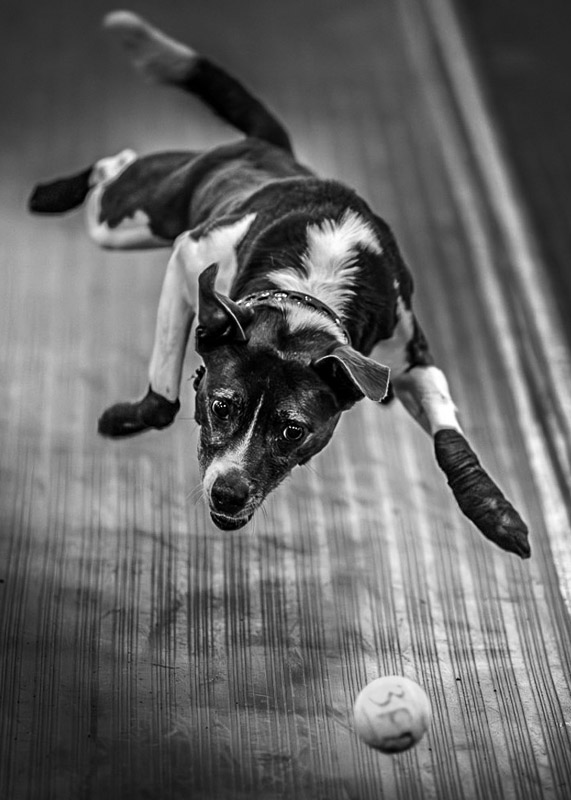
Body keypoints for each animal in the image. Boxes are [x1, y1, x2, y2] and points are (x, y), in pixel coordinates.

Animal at [27, 9, 532, 556]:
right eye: (222, 406)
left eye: (293, 430)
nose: (227, 494)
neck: (309, 294)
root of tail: (269, 147)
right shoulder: (189, 259)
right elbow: (162, 396)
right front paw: (127, 417)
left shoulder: (405, 358)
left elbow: (448, 435)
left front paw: (493, 510)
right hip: (129, 219)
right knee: (113, 167)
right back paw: (55, 192)